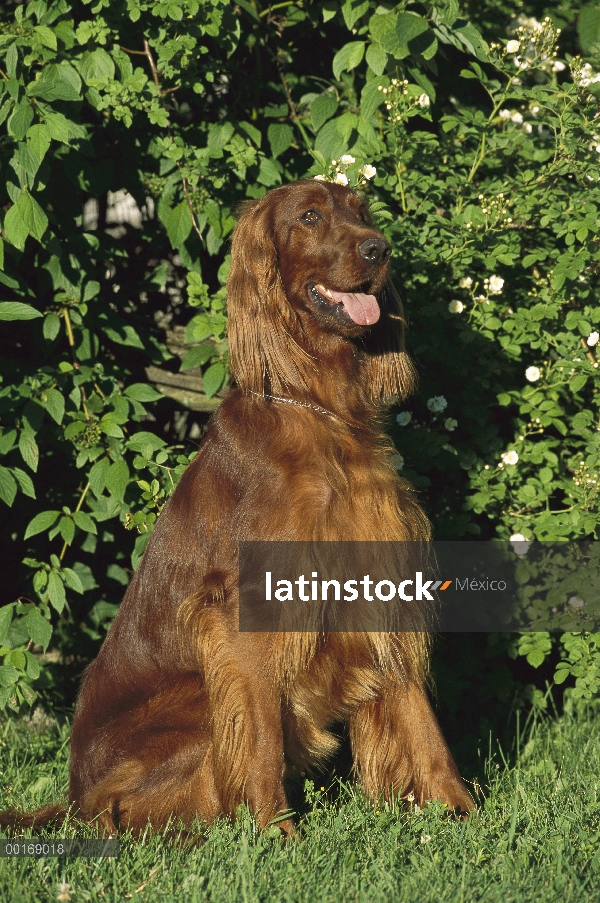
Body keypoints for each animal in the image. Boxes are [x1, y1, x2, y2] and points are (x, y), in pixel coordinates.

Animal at [1, 180, 474, 836]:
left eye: (363, 212)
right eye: (310, 216)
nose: (379, 249)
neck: (321, 411)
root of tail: (71, 796)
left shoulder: (378, 573)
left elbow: (420, 718)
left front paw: (464, 812)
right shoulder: (242, 614)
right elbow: (261, 741)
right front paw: (275, 834)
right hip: (192, 701)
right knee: (122, 814)